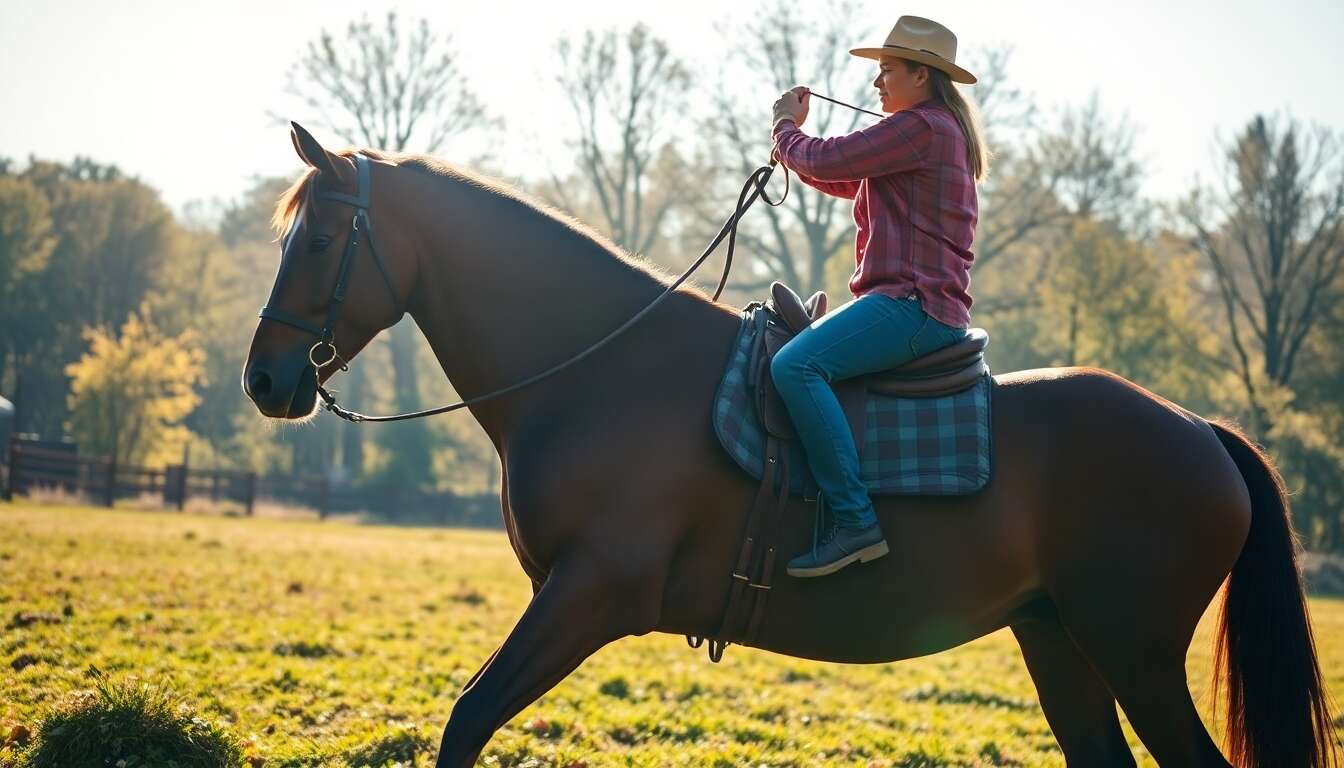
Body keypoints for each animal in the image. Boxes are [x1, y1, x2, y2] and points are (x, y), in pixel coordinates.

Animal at [242, 123, 1337, 768]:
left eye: (322, 239)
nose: (265, 378)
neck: (600, 372)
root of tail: (1200, 431)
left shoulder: (588, 596)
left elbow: (468, 719)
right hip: (1059, 639)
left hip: (1134, 651)